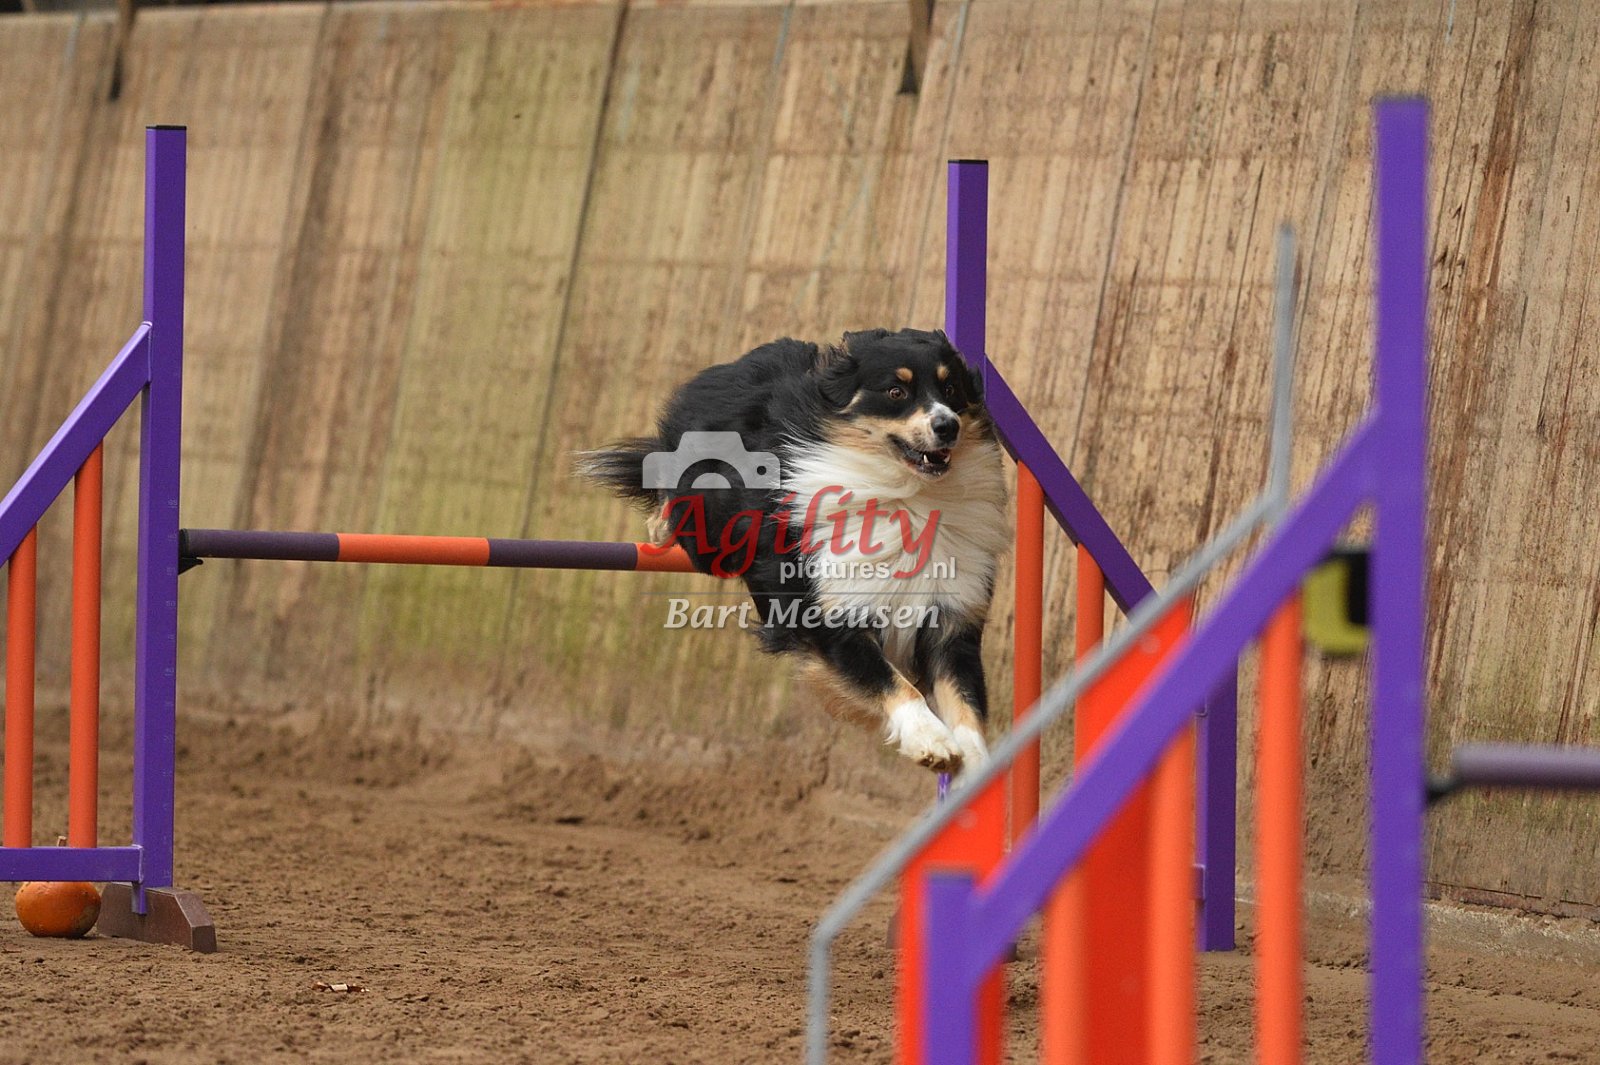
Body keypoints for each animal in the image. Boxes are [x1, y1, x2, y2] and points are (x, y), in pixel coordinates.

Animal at [578, 328, 1009, 778]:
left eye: (951, 388)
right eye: (895, 391)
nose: (948, 425)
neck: (909, 495)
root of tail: (726, 367)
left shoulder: (952, 620)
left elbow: (965, 703)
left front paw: (978, 765)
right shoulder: (830, 614)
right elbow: (893, 681)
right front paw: (930, 739)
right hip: (709, 534)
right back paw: (660, 525)